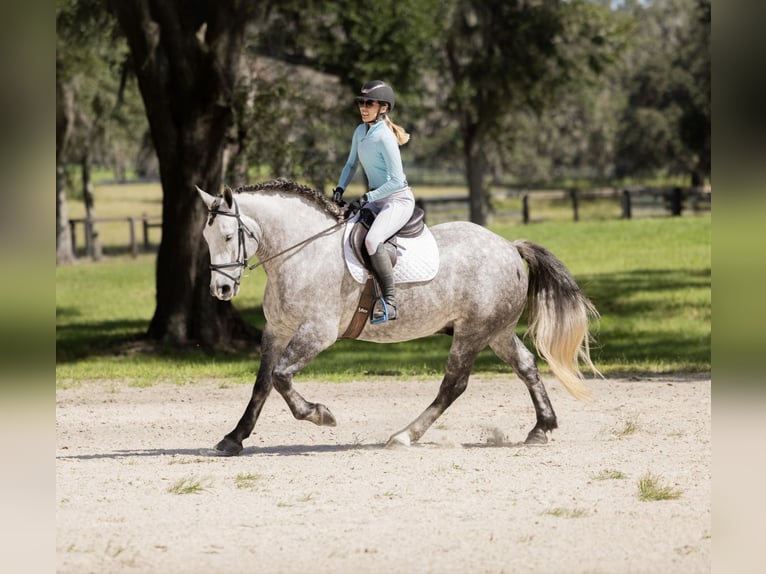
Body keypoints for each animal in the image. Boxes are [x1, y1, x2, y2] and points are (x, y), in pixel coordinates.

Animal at [197, 178, 601, 456]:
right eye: (207, 236)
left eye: (230, 236)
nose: (221, 290)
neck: (301, 253)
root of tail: (509, 246)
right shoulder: (276, 331)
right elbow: (263, 383)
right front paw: (233, 438)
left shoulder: (317, 332)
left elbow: (281, 377)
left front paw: (320, 414)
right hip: (496, 332)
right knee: (527, 366)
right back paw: (542, 428)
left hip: (472, 333)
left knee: (453, 385)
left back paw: (405, 435)